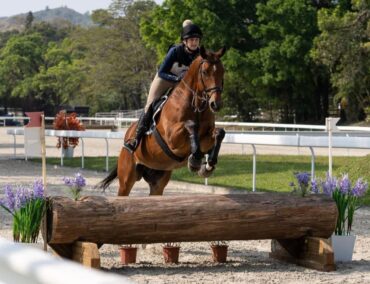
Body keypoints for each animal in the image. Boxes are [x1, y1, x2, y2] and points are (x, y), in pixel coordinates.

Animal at [98, 46, 225, 196]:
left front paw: (208, 165)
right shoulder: (172, 139)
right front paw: (195, 160)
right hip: (126, 180)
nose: (215, 104)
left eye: (223, 71)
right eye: (205, 72)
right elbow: (191, 125)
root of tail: (127, 136)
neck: (196, 106)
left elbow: (219, 132)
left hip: (158, 182)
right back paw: (132, 144)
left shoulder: (205, 137)